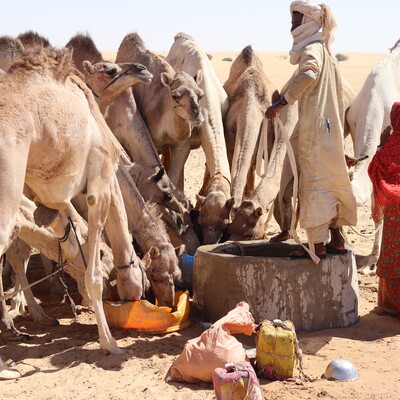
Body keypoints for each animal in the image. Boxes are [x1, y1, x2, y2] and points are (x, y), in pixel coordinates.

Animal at [0, 47, 145, 354]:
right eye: (110, 70)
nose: (141, 292)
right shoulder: (99, 184)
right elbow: (92, 269)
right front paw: (109, 343)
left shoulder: (50, 195)